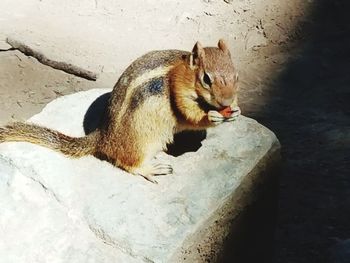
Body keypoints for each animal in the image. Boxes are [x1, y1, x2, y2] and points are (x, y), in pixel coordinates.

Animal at [0, 39, 241, 184]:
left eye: (237, 76)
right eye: (206, 79)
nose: (226, 102)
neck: (185, 72)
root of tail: (104, 137)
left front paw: (236, 110)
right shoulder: (178, 89)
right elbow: (188, 114)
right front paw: (211, 116)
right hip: (141, 142)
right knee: (127, 163)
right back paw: (150, 169)